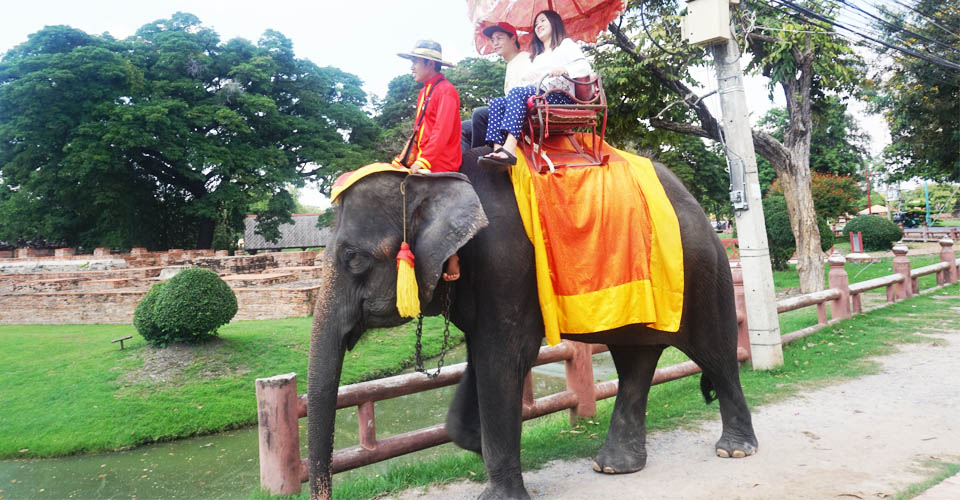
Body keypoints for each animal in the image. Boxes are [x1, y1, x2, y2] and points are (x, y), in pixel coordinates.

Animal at [308, 148, 756, 500]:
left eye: (354, 259)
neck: (431, 178)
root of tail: (699, 206)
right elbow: (483, 361)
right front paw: (480, 445)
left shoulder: (506, 265)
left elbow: (502, 358)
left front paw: (497, 489)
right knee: (635, 361)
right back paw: (616, 466)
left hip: (702, 269)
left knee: (715, 353)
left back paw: (734, 451)